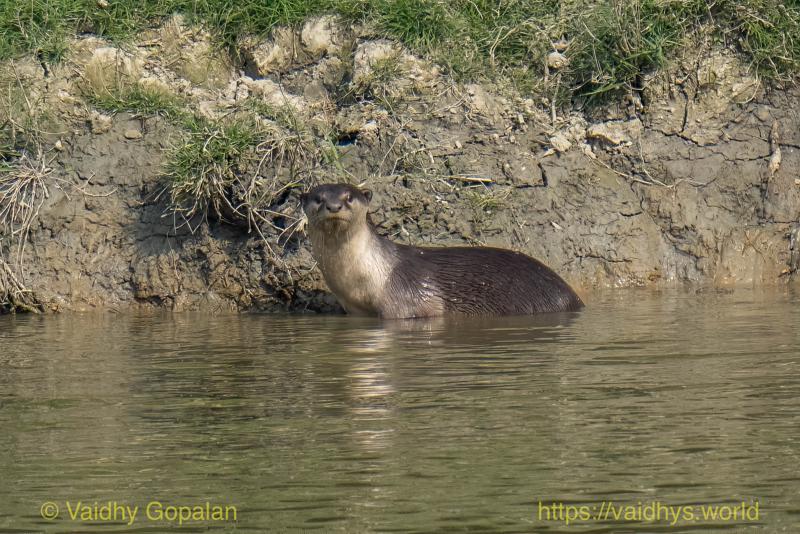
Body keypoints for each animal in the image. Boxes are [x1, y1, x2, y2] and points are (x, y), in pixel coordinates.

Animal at [301, 183, 583, 319]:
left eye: (349, 197)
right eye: (318, 199)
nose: (334, 206)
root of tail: (574, 298)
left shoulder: (403, 303)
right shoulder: (356, 311)